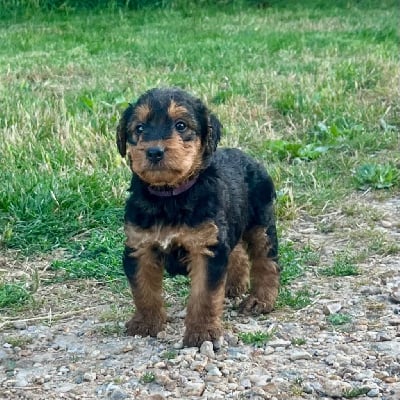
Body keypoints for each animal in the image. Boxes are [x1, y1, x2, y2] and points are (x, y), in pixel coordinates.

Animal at [115, 87, 278, 346]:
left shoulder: (205, 249)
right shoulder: (139, 246)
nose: (154, 152)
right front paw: (146, 323)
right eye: (139, 128)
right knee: (238, 252)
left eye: (181, 125)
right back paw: (234, 285)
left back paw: (260, 300)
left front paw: (202, 333)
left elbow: (205, 296)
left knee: (266, 261)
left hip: (261, 224)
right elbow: (143, 289)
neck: (169, 196)